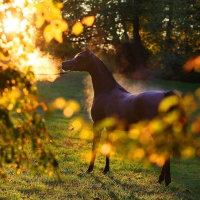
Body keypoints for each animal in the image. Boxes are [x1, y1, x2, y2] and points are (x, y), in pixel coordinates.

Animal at [61, 48, 185, 186]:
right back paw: (163, 180)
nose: (63, 64)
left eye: (79, 57)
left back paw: (163, 180)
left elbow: (95, 147)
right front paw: (106, 170)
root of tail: (165, 95)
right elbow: (107, 148)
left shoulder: (97, 125)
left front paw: (89, 169)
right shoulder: (109, 129)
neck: (107, 90)